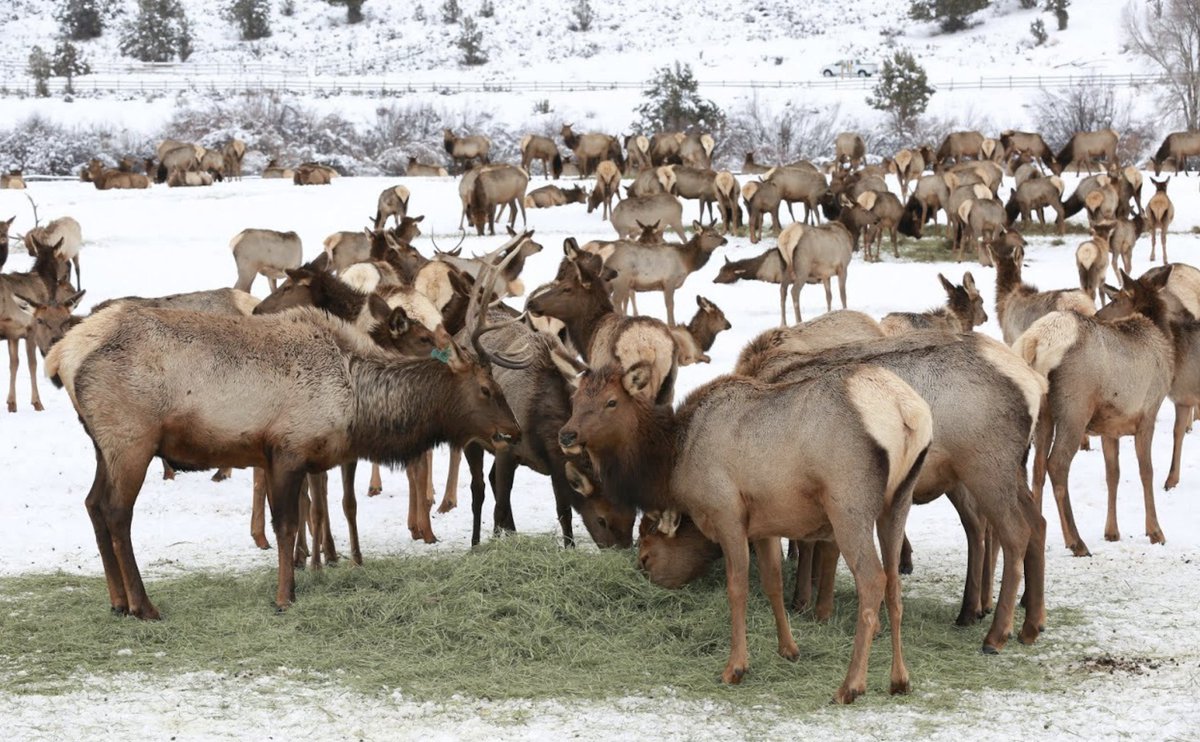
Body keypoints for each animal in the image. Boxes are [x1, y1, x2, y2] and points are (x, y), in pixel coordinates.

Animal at [558, 358, 932, 704]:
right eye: (576, 398)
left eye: (611, 401)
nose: (566, 434)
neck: (673, 463)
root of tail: (907, 412)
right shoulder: (765, 523)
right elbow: (772, 584)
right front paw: (788, 649)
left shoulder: (727, 511)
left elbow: (737, 588)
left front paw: (735, 667)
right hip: (898, 502)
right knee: (893, 582)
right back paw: (900, 680)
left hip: (849, 501)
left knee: (872, 579)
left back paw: (850, 685)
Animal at [1016, 268, 1175, 556]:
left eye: (1114, 299)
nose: (1098, 315)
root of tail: (1034, 342)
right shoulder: (1148, 412)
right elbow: (1146, 472)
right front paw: (1155, 531)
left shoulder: (1110, 426)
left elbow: (1113, 474)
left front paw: (1112, 532)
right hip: (1074, 407)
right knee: (1057, 464)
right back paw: (1076, 541)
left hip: (1043, 412)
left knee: (1036, 467)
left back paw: (1040, 537)